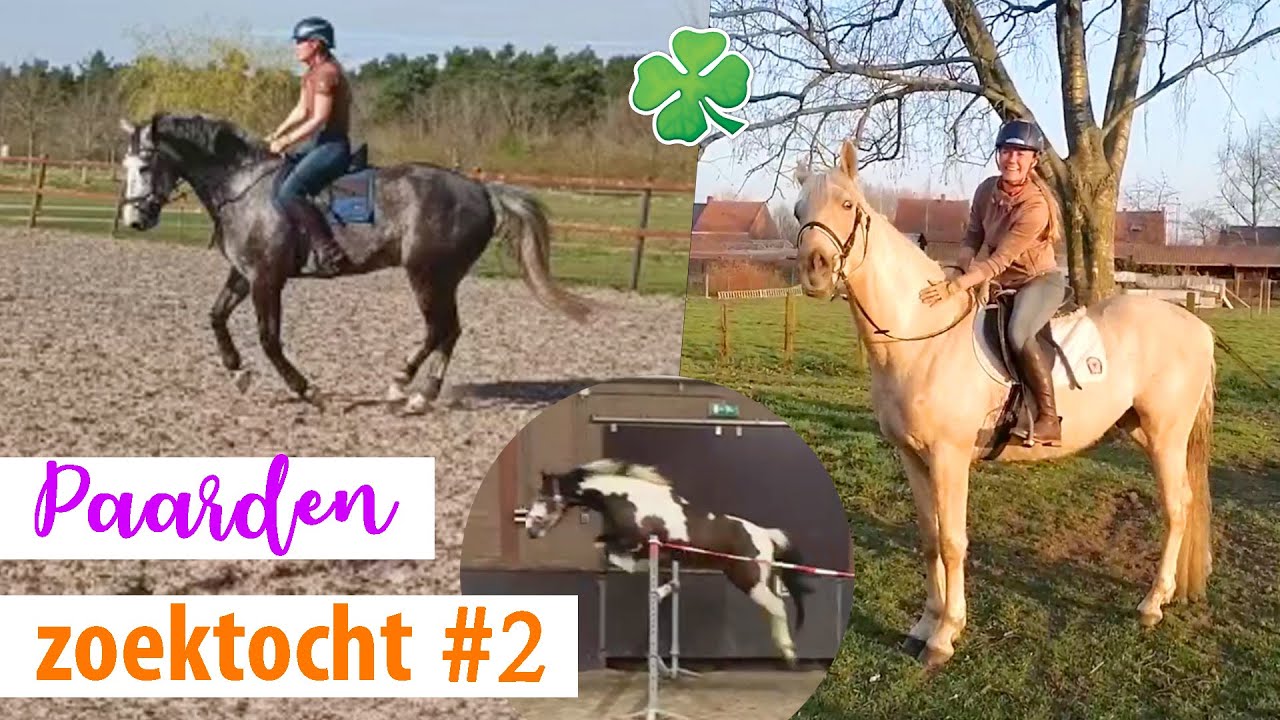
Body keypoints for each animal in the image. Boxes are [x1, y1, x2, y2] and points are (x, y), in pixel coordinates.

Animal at [116, 112, 592, 413]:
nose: (135, 219)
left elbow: (269, 339)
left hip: (428, 275)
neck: (243, 187)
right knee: (449, 331)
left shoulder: (268, 278)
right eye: (125, 164)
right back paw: (418, 392)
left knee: (440, 329)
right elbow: (216, 316)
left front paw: (308, 391)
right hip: (441, 278)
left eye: (145, 165)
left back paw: (405, 387)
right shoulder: (245, 273)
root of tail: (480, 189)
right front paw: (238, 373)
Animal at [523, 458, 814, 667]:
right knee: (772, 609)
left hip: (749, 581)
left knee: (777, 607)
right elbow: (605, 547)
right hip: (756, 582)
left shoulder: (637, 541)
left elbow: (614, 553)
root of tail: (766, 535)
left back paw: (790, 654)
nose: (530, 530)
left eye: (544, 497)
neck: (628, 499)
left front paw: (647, 573)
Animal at [791, 138, 1216, 669]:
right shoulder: (912, 457)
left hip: (1166, 437)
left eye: (849, 206)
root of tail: (1197, 326)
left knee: (1177, 508)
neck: (923, 339)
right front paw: (924, 624)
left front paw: (944, 636)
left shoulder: (949, 458)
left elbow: (953, 542)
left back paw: (1152, 603)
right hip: (1141, 429)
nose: (814, 269)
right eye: (798, 210)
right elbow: (929, 539)